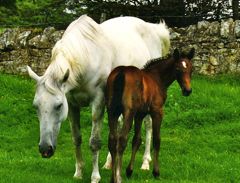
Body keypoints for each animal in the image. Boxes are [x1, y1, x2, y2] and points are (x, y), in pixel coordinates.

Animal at [27, 14, 170, 183]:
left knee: (148, 125)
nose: (45, 149)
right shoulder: (72, 106)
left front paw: (95, 177)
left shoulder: (98, 103)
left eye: (59, 105)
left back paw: (145, 163)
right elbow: (77, 138)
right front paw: (79, 172)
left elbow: (94, 142)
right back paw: (109, 163)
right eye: (36, 106)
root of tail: (154, 28)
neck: (87, 56)